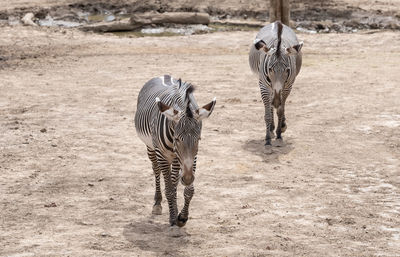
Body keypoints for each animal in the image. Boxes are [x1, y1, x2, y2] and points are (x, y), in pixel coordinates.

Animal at [134, 74, 216, 226]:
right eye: (177, 139)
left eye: (198, 139)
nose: (188, 178)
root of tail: (164, 76)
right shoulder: (161, 155)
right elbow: (170, 190)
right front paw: (173, 217)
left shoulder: (192, 158)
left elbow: (187, 189)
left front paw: (182, 216)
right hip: (151, 148)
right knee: (156, 170)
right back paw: (158, 203)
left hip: (176, 160)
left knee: (174, 179)